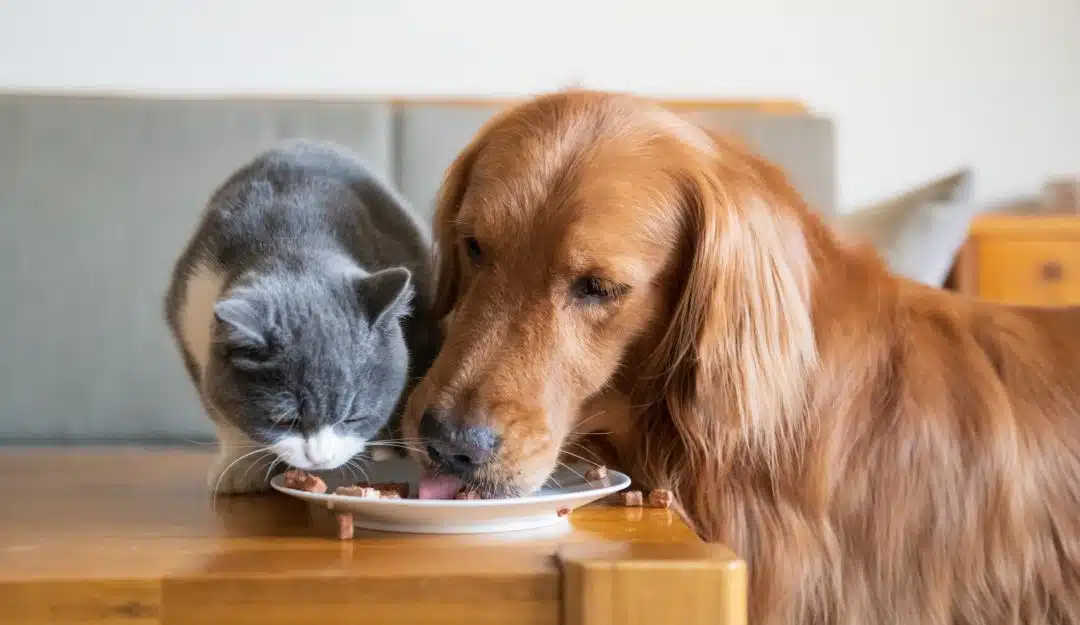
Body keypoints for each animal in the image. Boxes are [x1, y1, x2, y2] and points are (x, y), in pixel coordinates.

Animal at [164, 139, 434, 496]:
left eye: (353, 417)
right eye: (284, 419)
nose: (319, 459)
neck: (291, 237)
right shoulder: (191, 307)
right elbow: (220, 404)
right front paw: (241, 466)